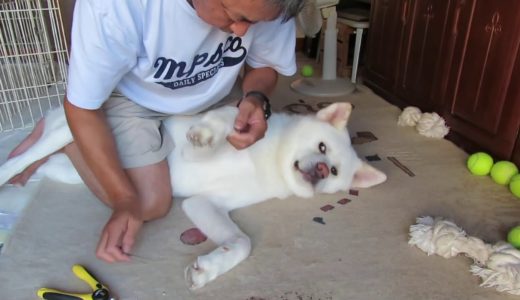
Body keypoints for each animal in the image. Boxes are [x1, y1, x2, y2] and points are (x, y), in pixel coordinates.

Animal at [0, 102, 386, 288]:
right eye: (322, 147)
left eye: (334, 172)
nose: (320, 170)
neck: (271, 161)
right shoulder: (199, 147)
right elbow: (227, 119)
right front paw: (208, 131)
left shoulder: (203, 203)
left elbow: (241, 243)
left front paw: (210, 268)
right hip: (67, 131)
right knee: (21, 156)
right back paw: (10, 171)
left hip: (71, 169)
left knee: (44, 166)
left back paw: (22, 183)